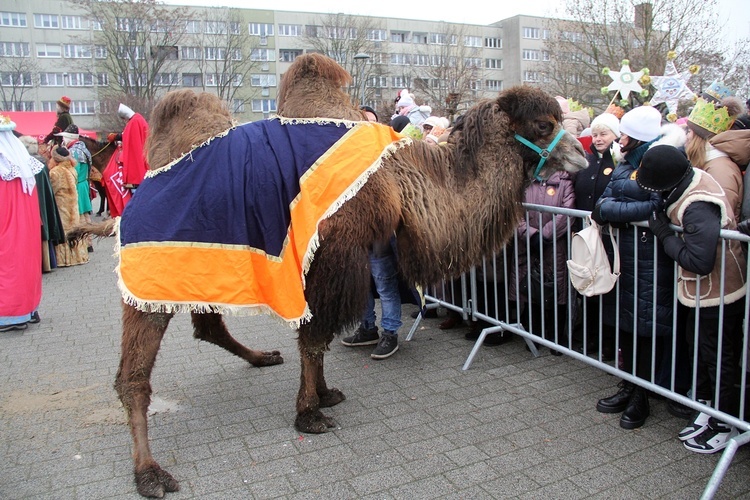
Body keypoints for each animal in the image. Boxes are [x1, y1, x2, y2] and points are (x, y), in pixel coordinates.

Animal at [72, 54, 588, 496]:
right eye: (544, 124)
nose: (581, 157)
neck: (399, 181)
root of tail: (130, 203)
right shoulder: (336, 254)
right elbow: (315, 337)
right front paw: (309, 413)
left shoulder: (326, 261)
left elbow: (314, 338)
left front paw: (323, 395)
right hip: (149, 279)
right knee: (133, 376)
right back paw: (149, 473)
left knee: (208, 325)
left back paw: (261, 357)